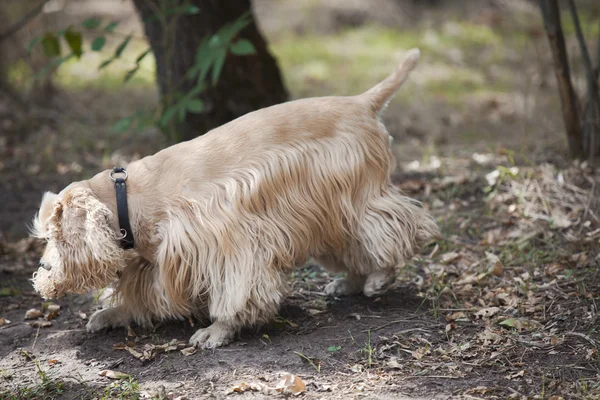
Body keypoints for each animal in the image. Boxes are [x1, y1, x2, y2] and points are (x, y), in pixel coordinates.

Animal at [30, 48, 438, 348]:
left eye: (54, 236)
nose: (44, 270)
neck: (127, 198)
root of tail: (361, 102)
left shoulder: (227, 245)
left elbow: (235, 293)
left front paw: (217, 330)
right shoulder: (160, 262)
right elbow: (145, 296)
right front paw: (111, 315)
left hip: (359, 195)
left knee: (394, 225)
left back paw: (380, 277)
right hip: (327, 211)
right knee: (351, 243)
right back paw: (350, 282)